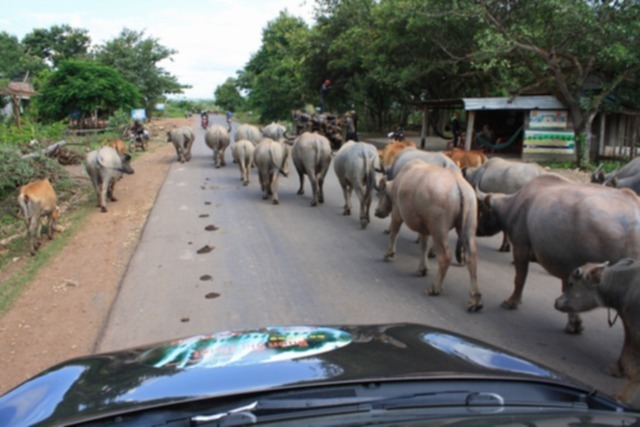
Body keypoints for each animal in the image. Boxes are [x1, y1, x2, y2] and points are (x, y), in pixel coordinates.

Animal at [372, 159, 482, 312]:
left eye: (381, 193)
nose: (377, 211)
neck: (397, 183)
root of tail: (459, 185)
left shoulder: (397, 213)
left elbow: (393, 233)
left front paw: (389, 253)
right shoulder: (424, 226)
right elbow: (423, 246)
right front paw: (422, 269)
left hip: (438, 227)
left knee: (445, 256)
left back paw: (435, 288)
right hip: (469, 221)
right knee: (472, 255)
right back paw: (475, 299)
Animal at [478, 174, 640, 334]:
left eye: (481, 210)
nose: (477, 230)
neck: (511, 207)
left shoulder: (520, 247)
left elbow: (519, 278)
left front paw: (511, 302)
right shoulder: (566, 261)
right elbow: (567, 288)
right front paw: (574, 324)